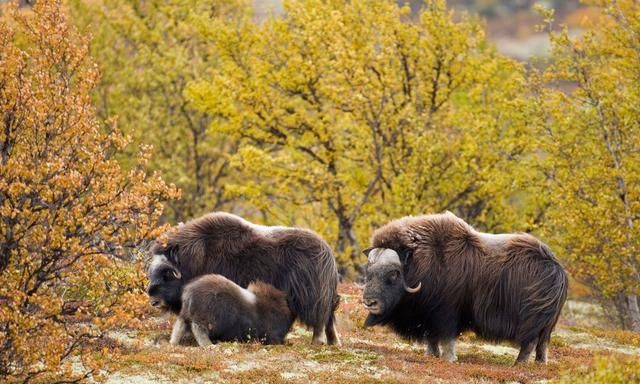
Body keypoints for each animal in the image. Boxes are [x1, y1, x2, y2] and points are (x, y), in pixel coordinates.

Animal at [166, 272, 294, 344]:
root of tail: (189, 292)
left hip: (185, 314)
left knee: (180, 326)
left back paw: (173, 342)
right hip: (207, 318)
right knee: (198, 329)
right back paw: (208, 345)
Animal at [362, 212, 568, 364]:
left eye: (394, 273)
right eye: (368, 270)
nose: (369, 302)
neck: (424, 262)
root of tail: (556, 267)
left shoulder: (446, 311)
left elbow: (446, 336)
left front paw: (449, 358)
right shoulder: (429, 313)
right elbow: (431, 336)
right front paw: (432, 355)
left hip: (532, 318)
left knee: (530, 341)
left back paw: (519, 364)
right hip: (548, 323)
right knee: (542, 343)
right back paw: (539, 364)